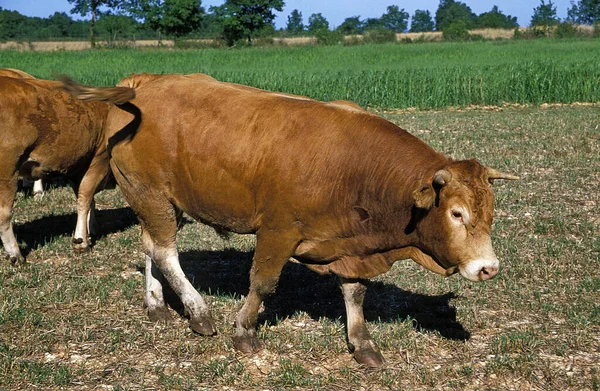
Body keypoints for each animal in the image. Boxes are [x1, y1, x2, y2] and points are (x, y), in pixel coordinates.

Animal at [0, 72, 132, 264]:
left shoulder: (79, 167)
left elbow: (88, 199)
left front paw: (91, 228)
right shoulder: (98, 161)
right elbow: (84, 198)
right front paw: (81, 240)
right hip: (7, 173)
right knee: (4, 214)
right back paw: (15, 253)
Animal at [63, 72, 516, 368]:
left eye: (491, 212)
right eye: (457, 213)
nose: (489, 268)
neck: (354, 166)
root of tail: (143, 82)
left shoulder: (349, 245)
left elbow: (355, 292)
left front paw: (362, 343)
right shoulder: (279, 231)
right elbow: (263, 283)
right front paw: (244, 332)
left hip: (155, 199)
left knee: (150, 247)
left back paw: (156, 304)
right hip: (151, 194)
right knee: (165, 251)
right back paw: (199, 313)